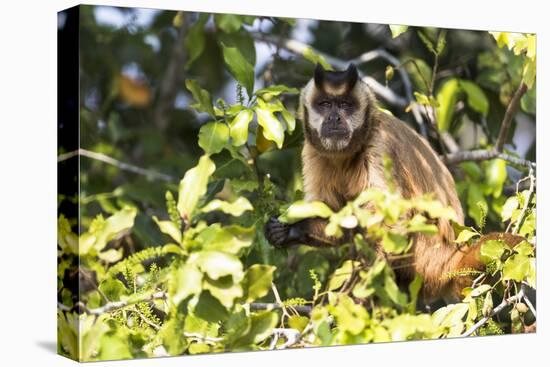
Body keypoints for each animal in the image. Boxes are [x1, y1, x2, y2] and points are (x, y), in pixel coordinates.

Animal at [268, 63, 528, 302]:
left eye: (344, 105)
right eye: (324, 104)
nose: (334, 117)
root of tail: (448, 257)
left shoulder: (379, 145)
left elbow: (395, 222)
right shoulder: (312, 151)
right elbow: (331, 212)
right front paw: (292, 230)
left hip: (424, 254)